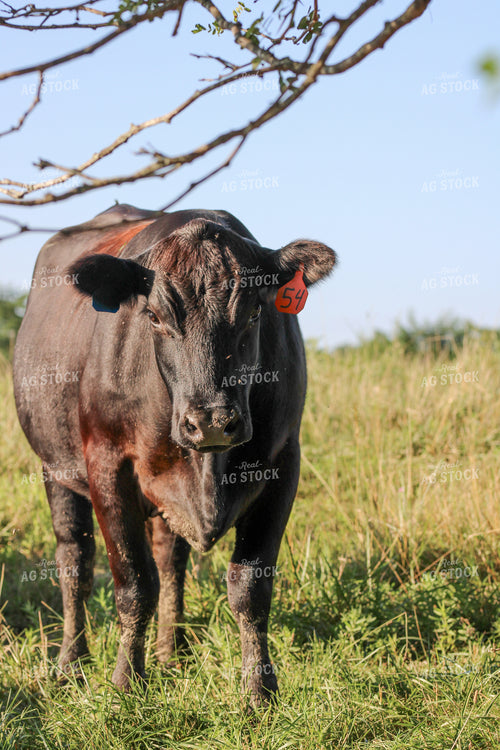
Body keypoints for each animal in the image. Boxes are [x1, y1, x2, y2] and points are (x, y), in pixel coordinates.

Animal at [13, 203, 336, 708]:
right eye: (154, 316)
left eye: (254, 312)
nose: (211, 421)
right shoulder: (107, 464)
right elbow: (133, 583)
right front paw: (127, 682)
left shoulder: (284, 462)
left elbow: (250, 586)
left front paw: (259, 691)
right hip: (56, 470)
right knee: (75, 563)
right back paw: (71, 663)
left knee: (171, 562)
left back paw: (172, 650)